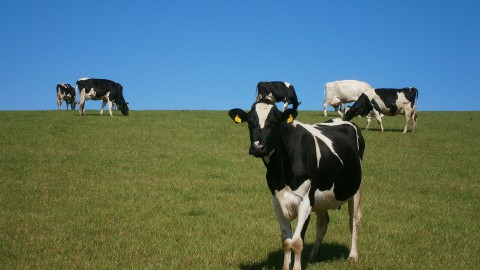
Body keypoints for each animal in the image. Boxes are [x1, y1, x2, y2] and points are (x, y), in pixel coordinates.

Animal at [229, 97, 364, 270]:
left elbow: (298, 242)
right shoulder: (278, 202)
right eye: (250, 123)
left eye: (274, 123)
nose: (258, 147)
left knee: (354, 220)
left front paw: (297, 267)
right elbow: (287, 242)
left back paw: (353, 256)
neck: (281, 172)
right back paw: (314, 255)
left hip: (356, 189)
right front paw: (286, 267)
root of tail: (344, 120)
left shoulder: (305, 202)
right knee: (323, 223)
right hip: (321, 198)